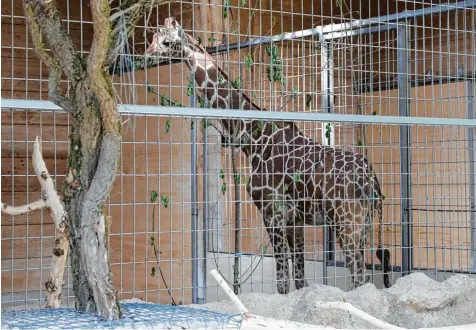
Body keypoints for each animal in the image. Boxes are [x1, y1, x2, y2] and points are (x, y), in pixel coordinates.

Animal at [147, 16, 392, 294]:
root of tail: (373, 180)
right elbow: (299, 280)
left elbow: (282, 282)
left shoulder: (271, 211)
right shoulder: (295, 220)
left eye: (168, 42)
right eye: (152, 38)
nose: (146, 57)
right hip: (365, 224)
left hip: (347, 222)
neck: (253, 138)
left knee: (360, 276)